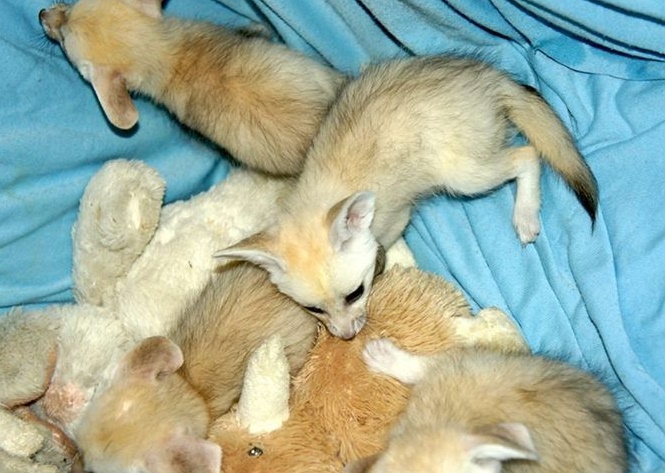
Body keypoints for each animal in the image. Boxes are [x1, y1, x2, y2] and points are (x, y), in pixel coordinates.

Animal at [214, 55, 599, 339]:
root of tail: (488, 79)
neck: (320, 196)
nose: (346, 337)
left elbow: (385, 243)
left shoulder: (398, 217)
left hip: (464, 173)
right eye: (314, 309)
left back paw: (526, 214)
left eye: (355, 294)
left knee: (527, 155)